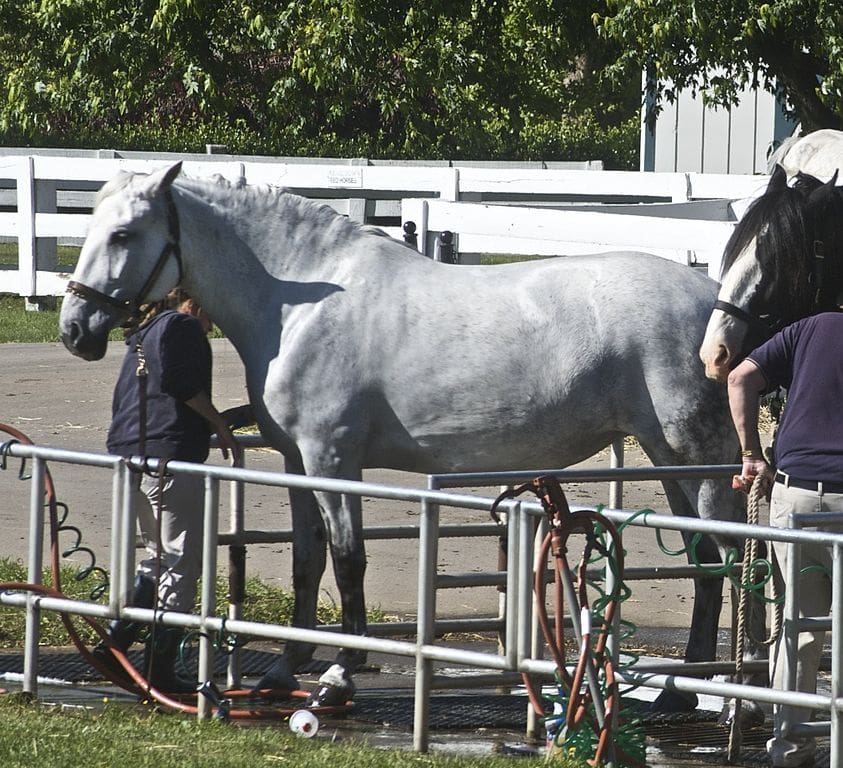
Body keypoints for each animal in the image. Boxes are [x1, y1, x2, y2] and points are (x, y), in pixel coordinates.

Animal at [59, 164, 760, 712]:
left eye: (123, 234)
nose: (74, 329)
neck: (300, 304)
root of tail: (713, 303)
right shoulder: (294, 461)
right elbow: (307, 560)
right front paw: (286, 669)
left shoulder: (332, 459)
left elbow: (348, 560)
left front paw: (338, 676)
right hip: (670, 463)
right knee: (706, 559)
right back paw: (686, 688)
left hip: (697, 460)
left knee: (726, 560)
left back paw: (716, 692)